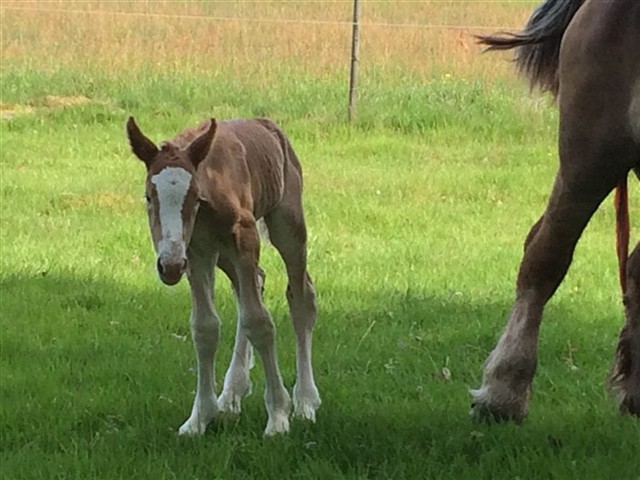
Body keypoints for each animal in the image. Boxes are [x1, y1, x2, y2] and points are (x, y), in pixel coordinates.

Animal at [126, 116, 320, 436]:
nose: (169, 266)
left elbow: (260, 322)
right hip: (224, 256)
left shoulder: (244, 238)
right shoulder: (196, 252)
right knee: (255, 283)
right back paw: (231, 393)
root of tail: (268, 124)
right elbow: (205, 327)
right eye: (149, 197)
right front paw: (199, 418)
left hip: (287, 223)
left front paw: (278, 416)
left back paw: (305, 401)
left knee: (301, 296)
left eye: (194, 197)